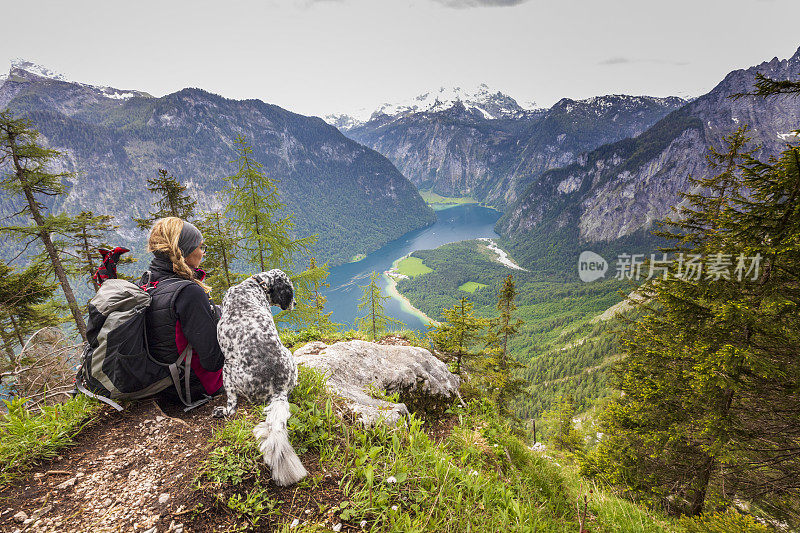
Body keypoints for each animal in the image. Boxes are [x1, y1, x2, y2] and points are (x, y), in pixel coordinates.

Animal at [214, 270, 308, 486]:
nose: (295, 303)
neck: (255, 285)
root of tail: (278, 389)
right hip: (289, 356)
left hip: (227, 369)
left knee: (232, 407)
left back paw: (222, 410)